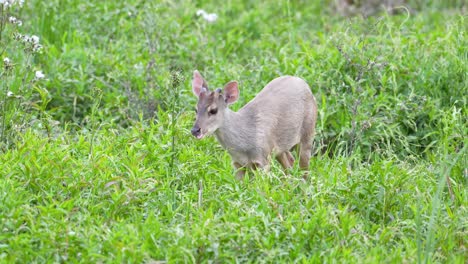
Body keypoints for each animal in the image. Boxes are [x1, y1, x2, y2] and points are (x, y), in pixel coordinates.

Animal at [190, 70, 318, 179]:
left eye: (213, 110)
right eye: (196, 109)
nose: (195, 130)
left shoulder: (262, 160)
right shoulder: (238, 163)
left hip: (308, 132)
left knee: (305, 169)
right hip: (279, 147)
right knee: (289, 162)